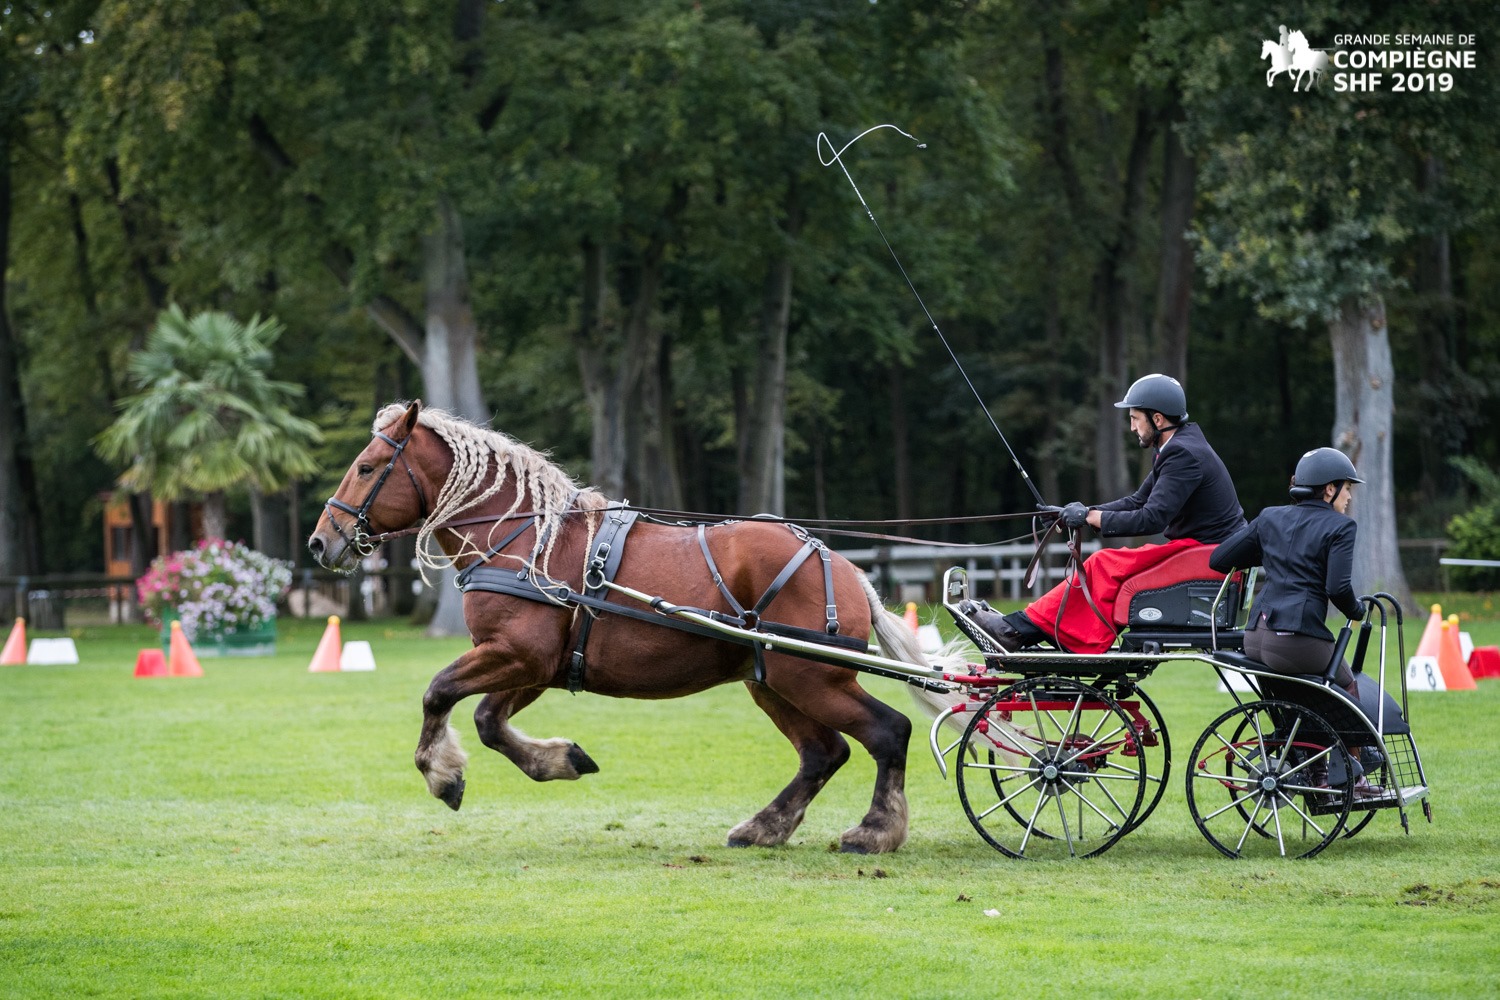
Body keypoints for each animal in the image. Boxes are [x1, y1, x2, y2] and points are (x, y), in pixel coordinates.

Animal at [307, 398, 924, 851]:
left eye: (366, 468)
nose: (320, 541)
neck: (523, 539)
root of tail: (840, 563)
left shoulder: (516, 654)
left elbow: (438, 692)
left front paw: (441, 774)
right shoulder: (536, 666)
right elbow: (487, 721)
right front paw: (559, 760)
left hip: (812, 677)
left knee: (888, 732)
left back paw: (875, 831)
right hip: (770, 680)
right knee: (824, 752)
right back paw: (763, 827)